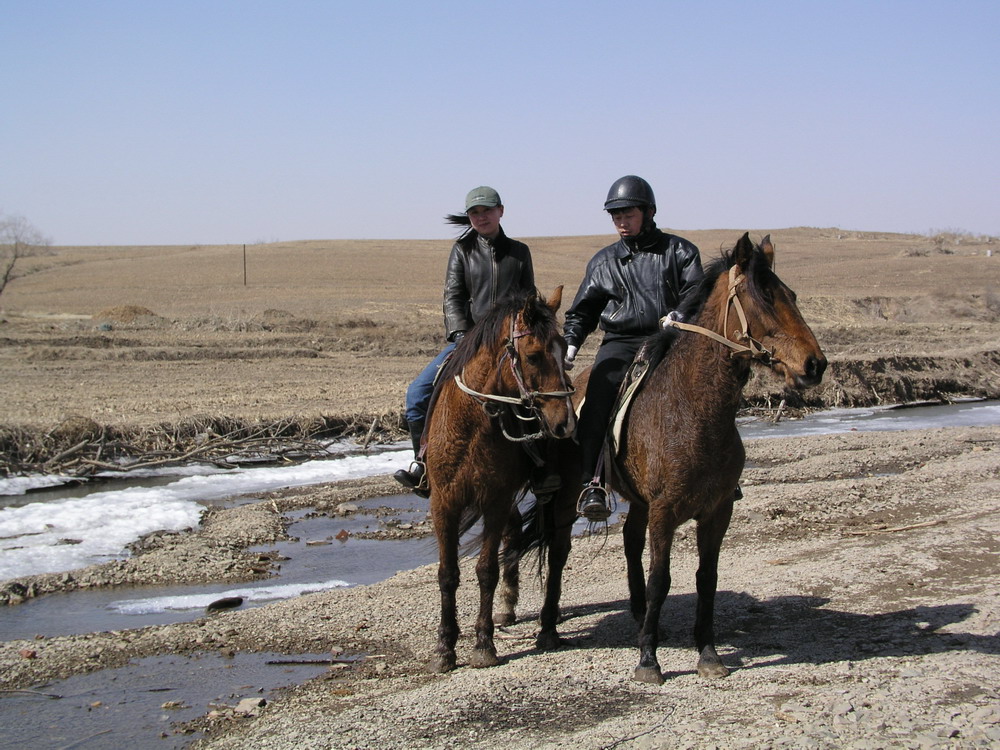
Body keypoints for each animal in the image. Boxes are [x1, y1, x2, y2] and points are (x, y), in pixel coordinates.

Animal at [426, 290, 576, 676]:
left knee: (555, 553)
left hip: (559, 499)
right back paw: (507, 608)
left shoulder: (494, 499)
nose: (565, 424)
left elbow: (485, 570)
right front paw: (444, 647)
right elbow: (447, 573)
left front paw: (483, 645)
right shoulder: (444, 502)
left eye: (564, 352)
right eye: (534, 355)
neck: (472, 425)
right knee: (514, 535)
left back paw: (547, 625)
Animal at [528, 235, 824, 688]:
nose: (815, 364)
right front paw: (648, 661)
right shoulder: (665, 511)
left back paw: (638, 617)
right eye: (764, 298)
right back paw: (548, 629)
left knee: (630, 541)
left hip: (639, 502)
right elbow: (661, 580)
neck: (694, 408)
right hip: (566, 497)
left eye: (790, 294)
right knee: (560, 551)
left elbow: (706, 579)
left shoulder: (716, 511)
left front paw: (708, 653)